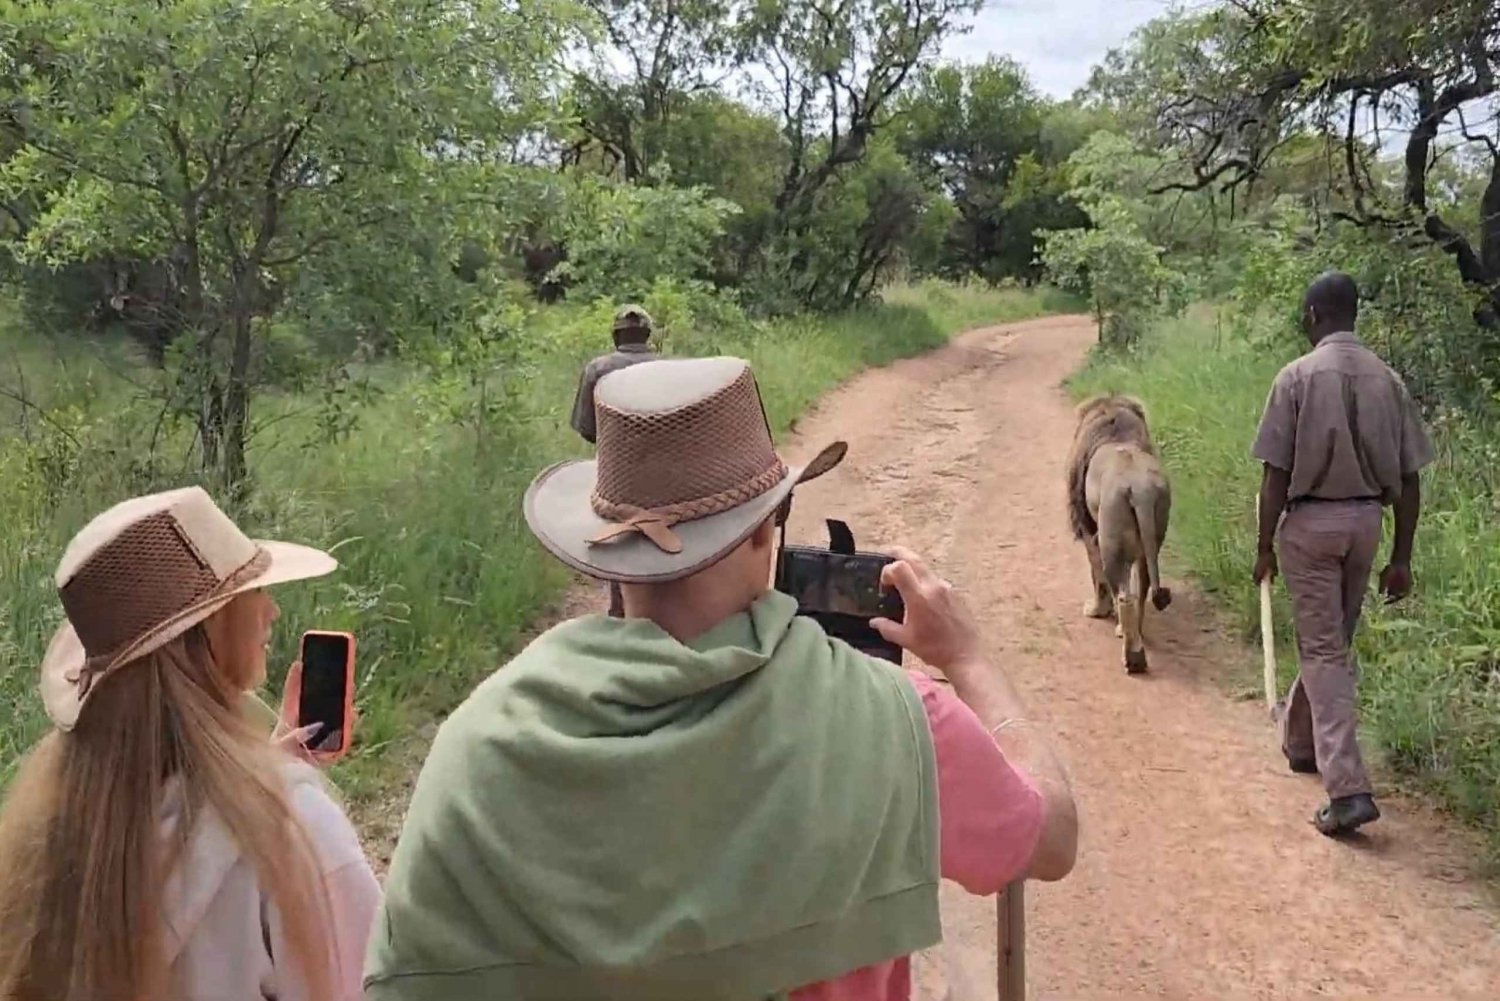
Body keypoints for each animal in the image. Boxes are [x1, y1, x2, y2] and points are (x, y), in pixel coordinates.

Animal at [1068, 396, 1170, 678]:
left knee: (1124, 595)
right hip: (1152, 538)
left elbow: (1096, 576)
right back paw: (1132, 632)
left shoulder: (1088, 530)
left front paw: (1096, 611)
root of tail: (1140, 489)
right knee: (1142, 588)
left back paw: (1132, 656)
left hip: (1111, 544)